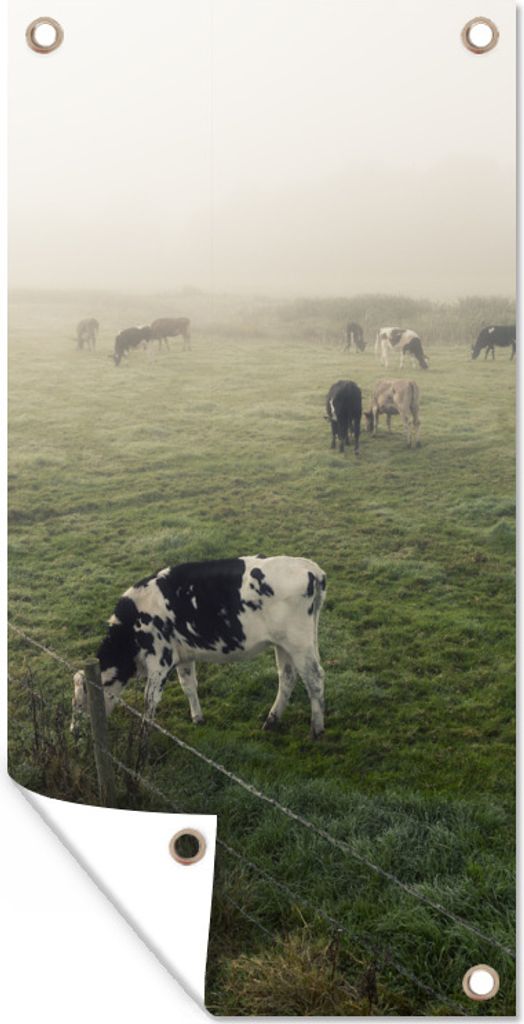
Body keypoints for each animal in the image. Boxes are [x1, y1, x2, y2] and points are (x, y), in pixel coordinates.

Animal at [70, 556, 327, 740]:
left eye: (80, 702)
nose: (73, 733)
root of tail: (311, 568)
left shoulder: (160, 660)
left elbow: (149, 700)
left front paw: (143, 736)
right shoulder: (183, 657)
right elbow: (188, 686)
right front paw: (197, 718)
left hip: (299, 643)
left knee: (314, 679)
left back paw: (316, 730)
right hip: (283, 643)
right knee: (288, 677)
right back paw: (271, 721)